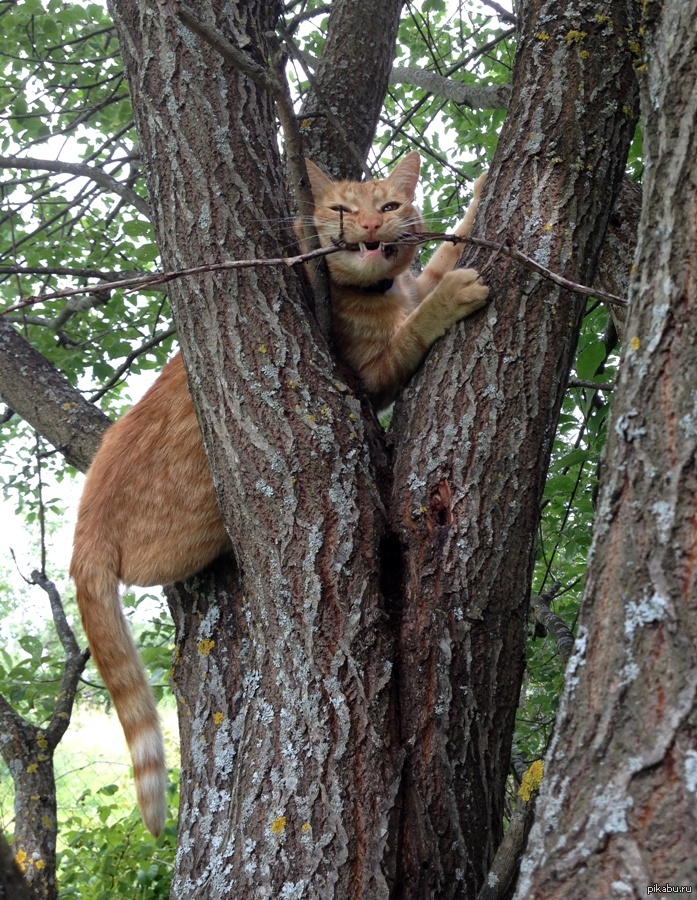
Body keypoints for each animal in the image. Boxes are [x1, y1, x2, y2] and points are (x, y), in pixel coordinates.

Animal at [69, 149, 484, 836]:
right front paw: (453, 295)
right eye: (341, 209)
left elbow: (444, 253)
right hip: (197, 528)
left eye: (389, 206)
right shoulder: (372, 377)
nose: (370, 227)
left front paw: (476, 197)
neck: (381, 290)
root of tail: (82, 534)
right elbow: (420, 321)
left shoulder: (413, 281)